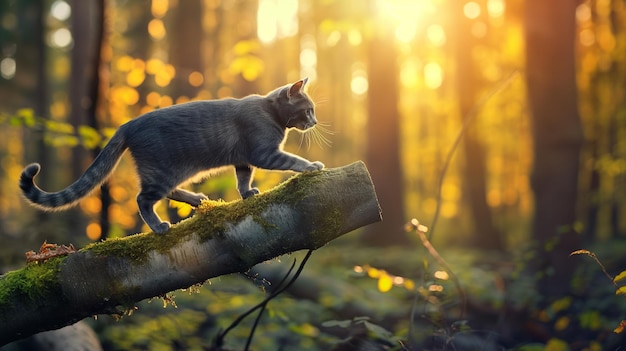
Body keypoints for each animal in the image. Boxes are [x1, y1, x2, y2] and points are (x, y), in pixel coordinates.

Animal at [20, 78, 322, 235]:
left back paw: (196, 199)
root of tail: (127, 125)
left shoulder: (244, 159)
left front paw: (247, 193)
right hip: (162, 170)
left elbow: (242, 178)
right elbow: (291, 160)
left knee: (167, 192)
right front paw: (312, 165)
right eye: (308, 110)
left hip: (171, 171)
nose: (315, 121)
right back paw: (158, 226)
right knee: (143, 199)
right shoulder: (264, 153)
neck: (270, 112)